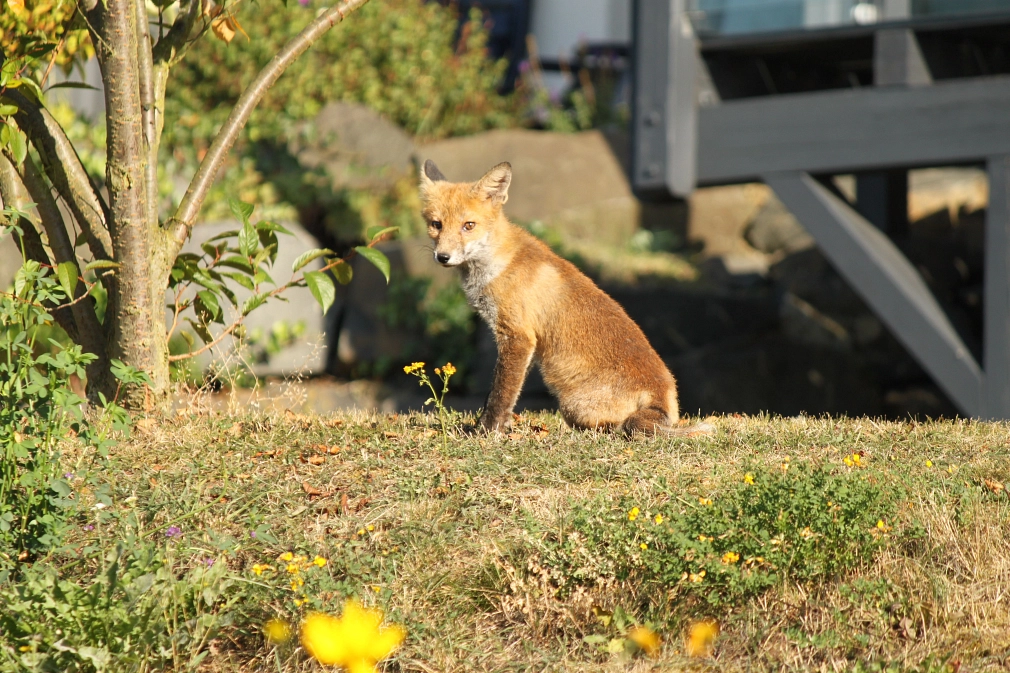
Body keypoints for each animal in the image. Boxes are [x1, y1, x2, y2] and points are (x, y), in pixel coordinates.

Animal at [419, 159, 681, 435]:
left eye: (468, 225)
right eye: (436, 224)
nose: (443, 257)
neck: (497, 263)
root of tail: (663, 395)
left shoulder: (517, 335)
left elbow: (500, 393)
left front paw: (487, 431)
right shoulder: (527, 344)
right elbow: (504, 392)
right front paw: (498, 425)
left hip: (572, 406)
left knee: (613, 427)